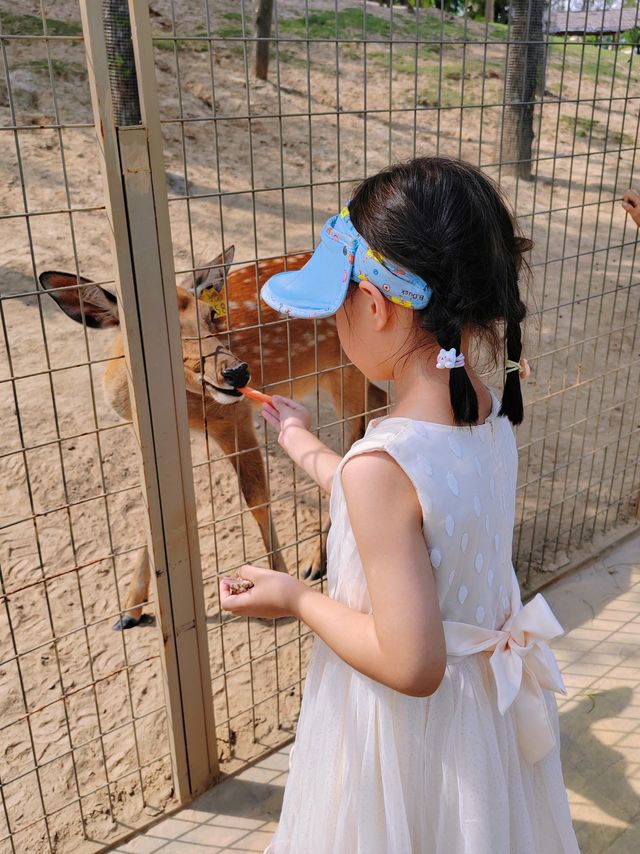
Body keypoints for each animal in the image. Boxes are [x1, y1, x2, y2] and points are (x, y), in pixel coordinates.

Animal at [42, 251, 390, 632]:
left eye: (211, 314)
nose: (237, 372)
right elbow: (154, 512)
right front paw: (130, 610)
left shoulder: (232, 417)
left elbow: (256, 497)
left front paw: (277, 588)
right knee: (377, 407)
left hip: (345, 369)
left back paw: (317, 560)